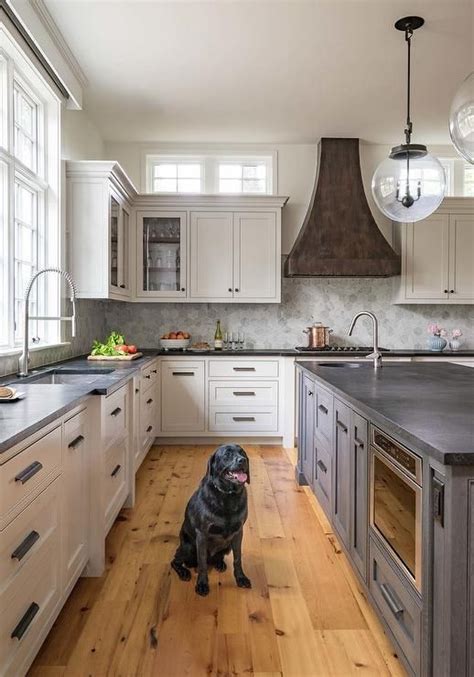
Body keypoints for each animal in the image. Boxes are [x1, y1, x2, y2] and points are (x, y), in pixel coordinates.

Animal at [170, 446, 252, 596]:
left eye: (242, 453)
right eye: (227, 454)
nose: (242, 460)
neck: (227, 496)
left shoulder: (238, 532)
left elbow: (238, 558)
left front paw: (241, 578)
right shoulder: (202, 535)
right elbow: (202, 562)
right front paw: (202, 584)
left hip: (227, 546)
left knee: (217, 557)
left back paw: (219, 563)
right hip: (188, 547)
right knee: (175, 561)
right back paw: (184, 572)